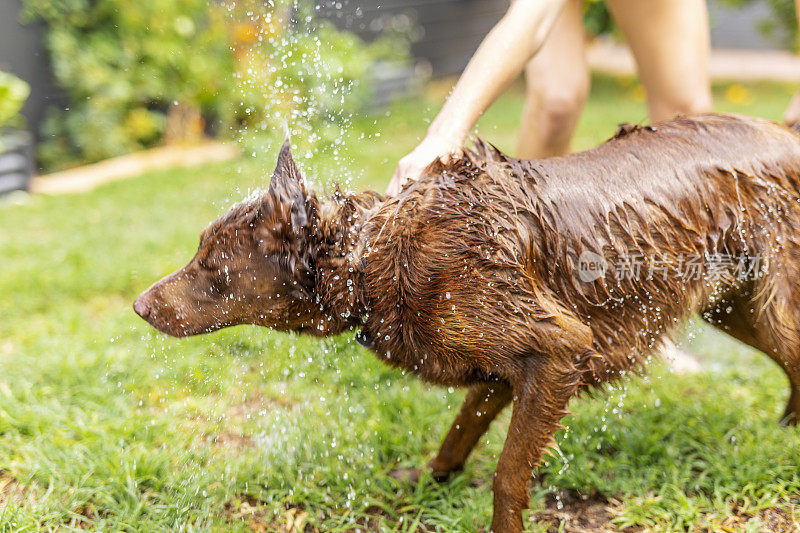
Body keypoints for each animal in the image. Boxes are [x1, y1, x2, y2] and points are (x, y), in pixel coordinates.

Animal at [134, 114, 800, 528]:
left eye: (209, 264)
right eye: (200, 250)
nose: (139, 305)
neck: (375, 259)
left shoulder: (557, 348)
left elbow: (507, 474)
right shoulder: (506, 367)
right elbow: (459, 432)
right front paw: (430, 479)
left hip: (764, 298)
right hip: (731, 304)